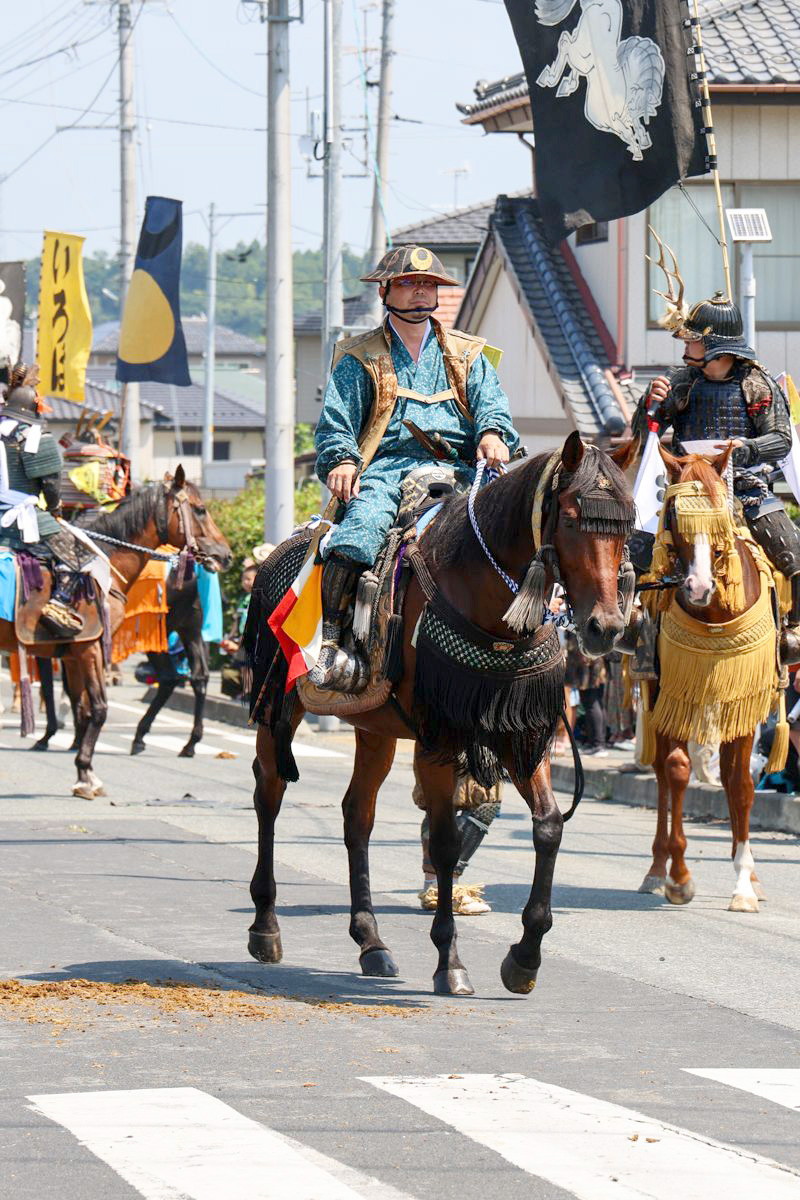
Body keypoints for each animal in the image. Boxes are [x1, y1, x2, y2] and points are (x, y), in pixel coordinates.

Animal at [0, 468, 231, 796]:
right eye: (200, 509)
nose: (225, 555)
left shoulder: (80, 649)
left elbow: (86, 703)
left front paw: (79, 763)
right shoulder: (80, 649)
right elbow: (86, 703)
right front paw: (77, 760)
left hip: (177, 629)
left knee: (184, 677)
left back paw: (173, 741)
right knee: (183, 677)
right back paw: (165, 740)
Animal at [244, 436, 638, 998]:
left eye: (627, 525)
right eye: (569, 518)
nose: (605, 627)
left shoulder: (522, 731)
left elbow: (548, 827)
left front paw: (525, 957)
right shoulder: (440, 734)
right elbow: (447, 842)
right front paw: (450, 961)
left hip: (374, 726)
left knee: (357, 816)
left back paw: (371, 943)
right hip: (280, 699)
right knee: (270, 792)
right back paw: (266, 926)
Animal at [633, 448, 777, 907]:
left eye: (719, 516)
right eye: (674, 515)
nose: (697, 587)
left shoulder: (744, 696)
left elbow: (741, 783)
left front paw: (744, 882)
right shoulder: (672, 690)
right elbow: (678, 771)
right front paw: (678, 877)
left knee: (728, 777)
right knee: (663, 775)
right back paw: (655, 870)